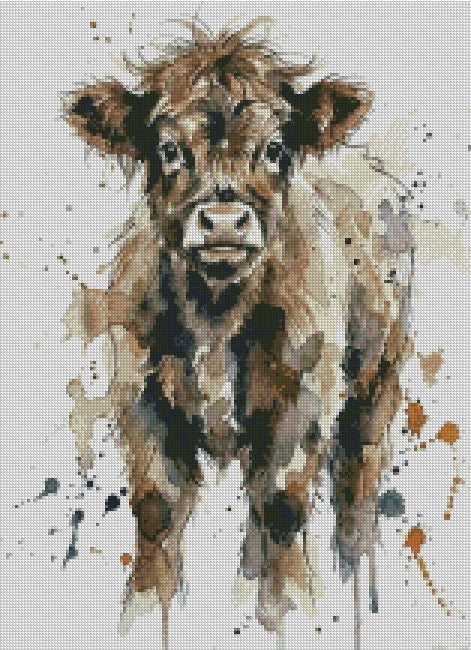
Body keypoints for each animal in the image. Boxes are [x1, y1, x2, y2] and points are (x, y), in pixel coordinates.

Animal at [64, 18, 414, 649]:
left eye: (275, 148)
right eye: (169, 149)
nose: (224, 221)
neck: (217, 312)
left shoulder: (300, 408)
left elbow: (282, 507)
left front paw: (289, 612)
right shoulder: (143, 405)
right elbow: (156, 511)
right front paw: (145, 612)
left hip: (376, 388)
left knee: (355, 500)